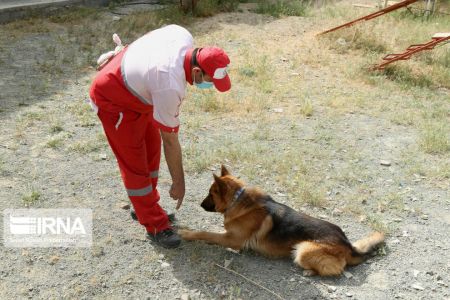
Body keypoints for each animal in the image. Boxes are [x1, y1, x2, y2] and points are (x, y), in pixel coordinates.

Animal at [178, 165, 384, 276]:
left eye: (210, 193)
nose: (200, 204)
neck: (238, 198)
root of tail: (348, 245)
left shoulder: (232, 240)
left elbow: (205, 233)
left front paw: (186, 233)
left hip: (302, 250)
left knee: (337, 269)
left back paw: (310, 271)